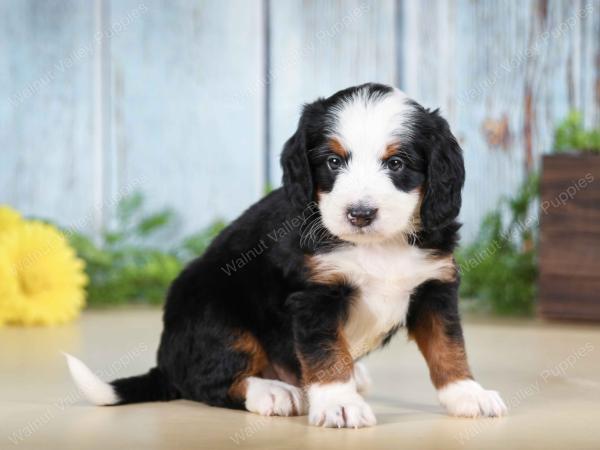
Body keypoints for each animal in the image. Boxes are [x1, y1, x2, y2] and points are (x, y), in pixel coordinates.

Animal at [65, 82, 506, 428]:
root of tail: (165, 361)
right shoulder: (315, 296)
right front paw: (339, 403)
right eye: (333, 161)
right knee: (209, 381)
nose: (360, 213)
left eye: (396, 163)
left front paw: (467, 393)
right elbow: (326, 353)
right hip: (214, 313)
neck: (376, 246)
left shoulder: (435, 285)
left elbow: (448, 346)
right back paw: (273, 392)